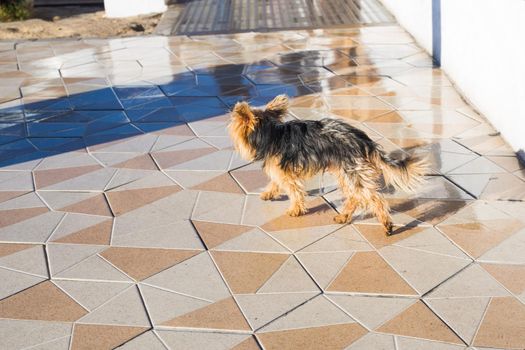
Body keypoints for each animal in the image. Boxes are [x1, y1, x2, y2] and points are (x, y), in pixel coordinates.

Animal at [227, 94, 428, 234]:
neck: (271, 135)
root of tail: (364, 140)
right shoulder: (282, 171)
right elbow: (276, 182)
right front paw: (268, 193)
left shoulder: (287, 174)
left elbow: (294, 191)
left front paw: (295, 209)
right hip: (344, 172)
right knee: (355, 196)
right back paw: (343, 216)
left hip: (351, 170)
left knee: (373, 198)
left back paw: (386, 224)